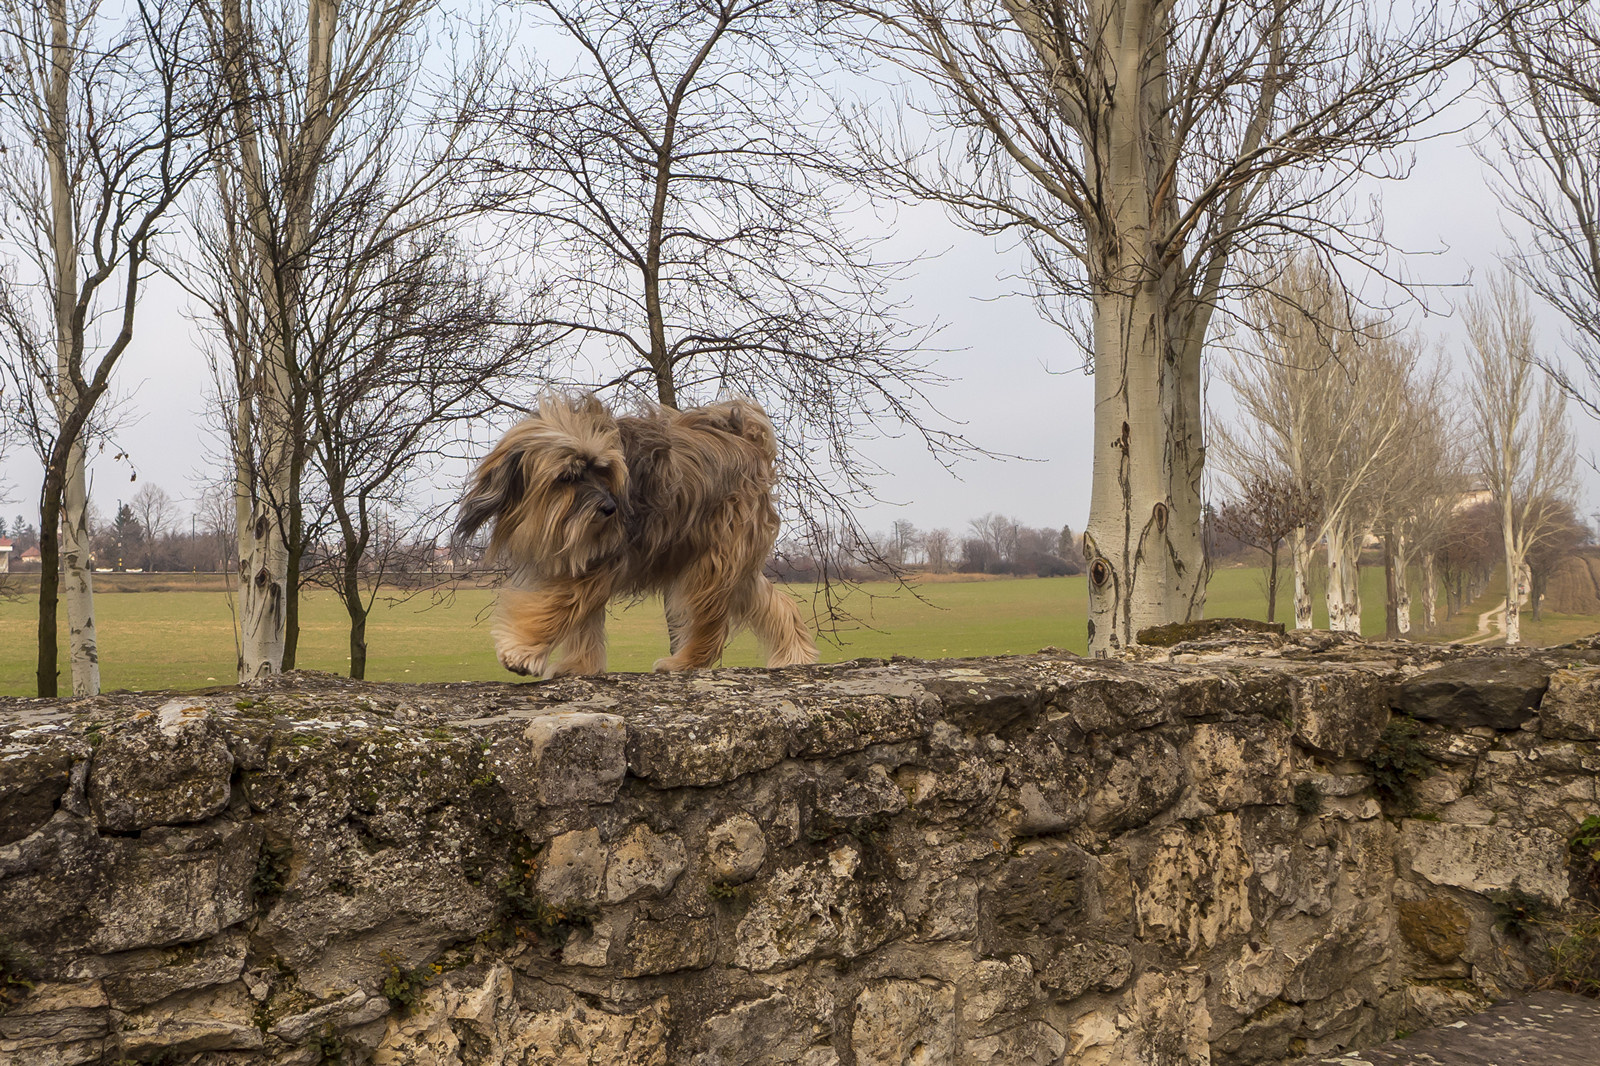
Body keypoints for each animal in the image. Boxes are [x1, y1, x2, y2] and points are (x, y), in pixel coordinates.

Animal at [457, 390, 819, 672]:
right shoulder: (578, 559)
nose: (609, 509)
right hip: (728, 559)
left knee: (710, 620)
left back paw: (685, 662)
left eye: (602, 470)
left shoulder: (602, 560)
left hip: (713, 558)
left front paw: (522, 651)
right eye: (568, 476)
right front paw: (578, 666)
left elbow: (559, 606)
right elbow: (583, 619)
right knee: (771, 602)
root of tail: (748, 442)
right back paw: (794, 656)